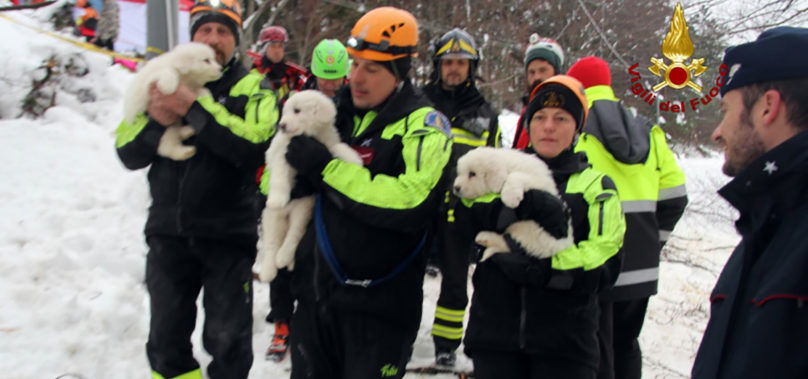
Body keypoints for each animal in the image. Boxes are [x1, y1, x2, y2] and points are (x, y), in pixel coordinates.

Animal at [258, 91, 362, 282]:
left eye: (297, 111)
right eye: (284, 112)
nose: (281, 125)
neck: (309, 135)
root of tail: (287, 214)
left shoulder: (327, 144)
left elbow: (339, 147)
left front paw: (355, 160)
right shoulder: (283, 154)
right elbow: (279, 176)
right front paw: (276, 199)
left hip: (304, 208)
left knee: (293, 235)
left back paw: (284, 258)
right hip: (272, 218)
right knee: (271, 244)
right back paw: (269, 270)